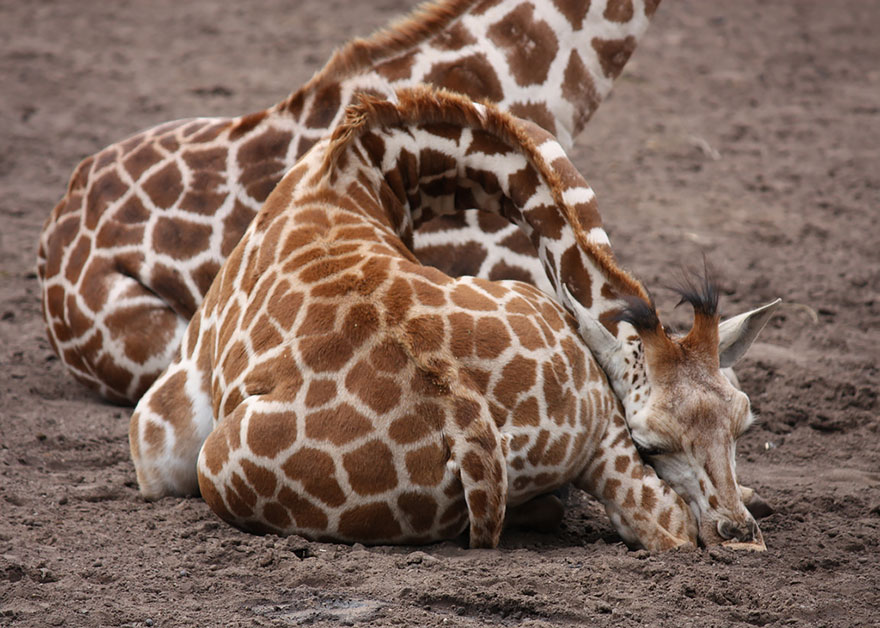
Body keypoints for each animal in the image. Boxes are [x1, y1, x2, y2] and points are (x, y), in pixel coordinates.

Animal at [130, 87, 770, 550]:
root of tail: (463, 417)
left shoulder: (160, 418)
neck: (364, 173)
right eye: (651, 443)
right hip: (591, 423)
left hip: (215, 465)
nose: (736, 534)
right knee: (660, 526)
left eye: (743, 423)